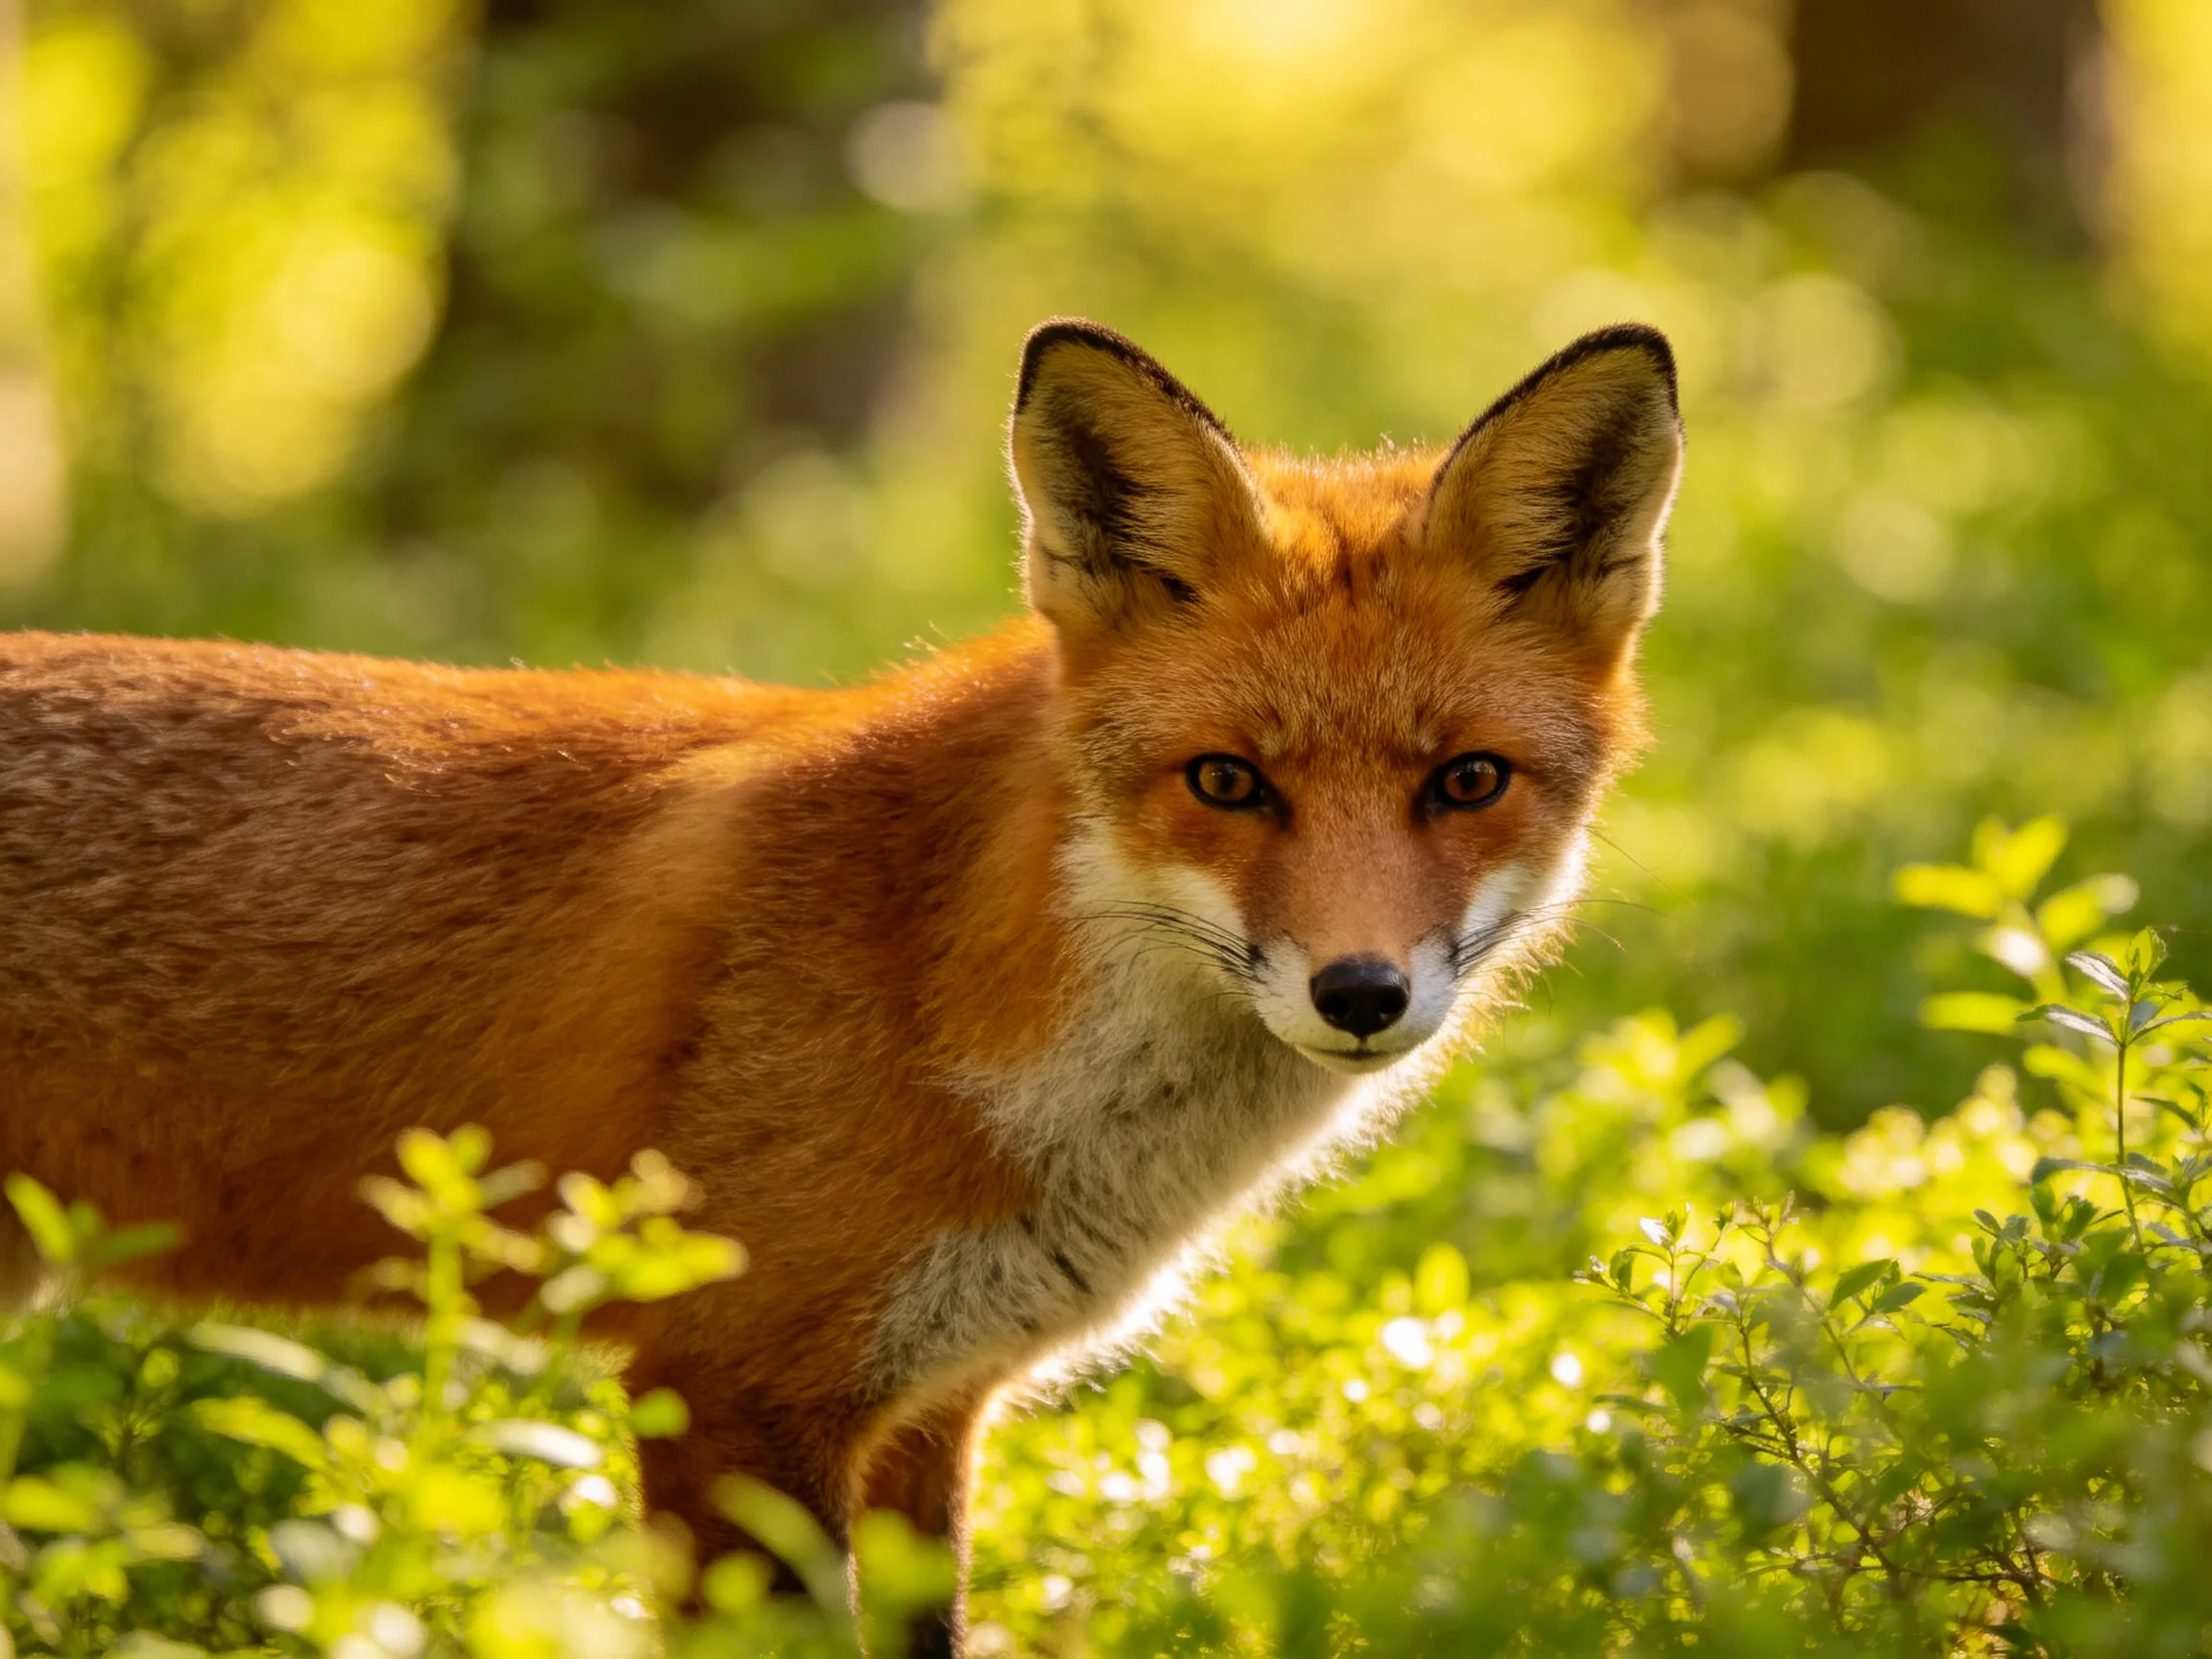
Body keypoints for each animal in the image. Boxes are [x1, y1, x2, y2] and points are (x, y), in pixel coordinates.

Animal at [0, 317, 1680, 1652]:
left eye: (1467, 782)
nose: (1361, 992)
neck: (945, 983)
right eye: (1227, 781)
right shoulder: (728, 1390)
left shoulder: (931, 1411)